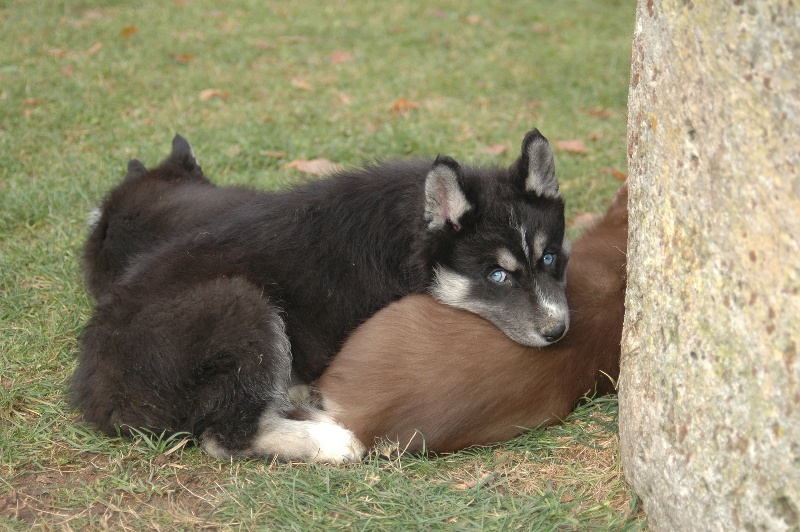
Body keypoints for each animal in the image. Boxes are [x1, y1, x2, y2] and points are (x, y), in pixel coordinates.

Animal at [69, 129, 568, 462]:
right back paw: (331, 440)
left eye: (549, 259)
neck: (409, 230)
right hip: (243, 306)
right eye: (497, 276)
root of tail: (100, 384)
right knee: (224, 435)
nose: (558, 331)